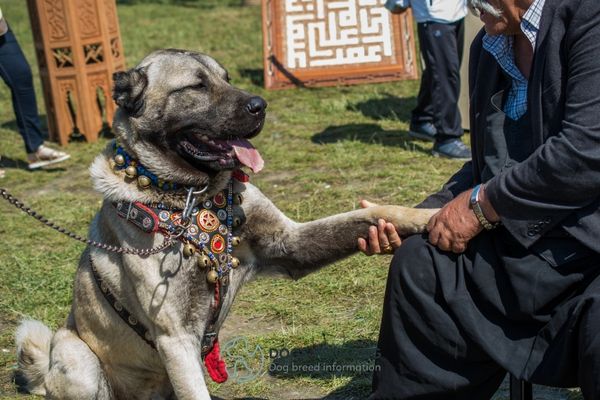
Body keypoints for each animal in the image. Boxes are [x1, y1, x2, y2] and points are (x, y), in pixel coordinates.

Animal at [15, 50, 436, 400]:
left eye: (226, 78)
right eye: (197, 86)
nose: (260, 105)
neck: (194, 200)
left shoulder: (291, 243)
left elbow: (375, 213)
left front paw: (434, 215)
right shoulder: (176, 338)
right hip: (77, 357)